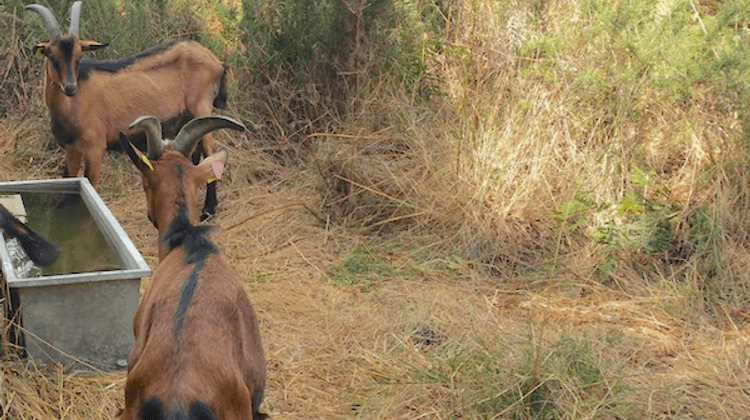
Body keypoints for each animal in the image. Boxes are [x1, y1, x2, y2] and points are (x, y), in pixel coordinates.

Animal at [25, 2, 229, 220]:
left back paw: (208, 211)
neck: (72, 105)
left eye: (79, 56)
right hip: (187, 119)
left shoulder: (95, 148)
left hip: (202, 108)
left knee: (210, 153)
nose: (70, 88)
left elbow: (91, 185)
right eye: (51, 55)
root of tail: (216, 62)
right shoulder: (71, 149)